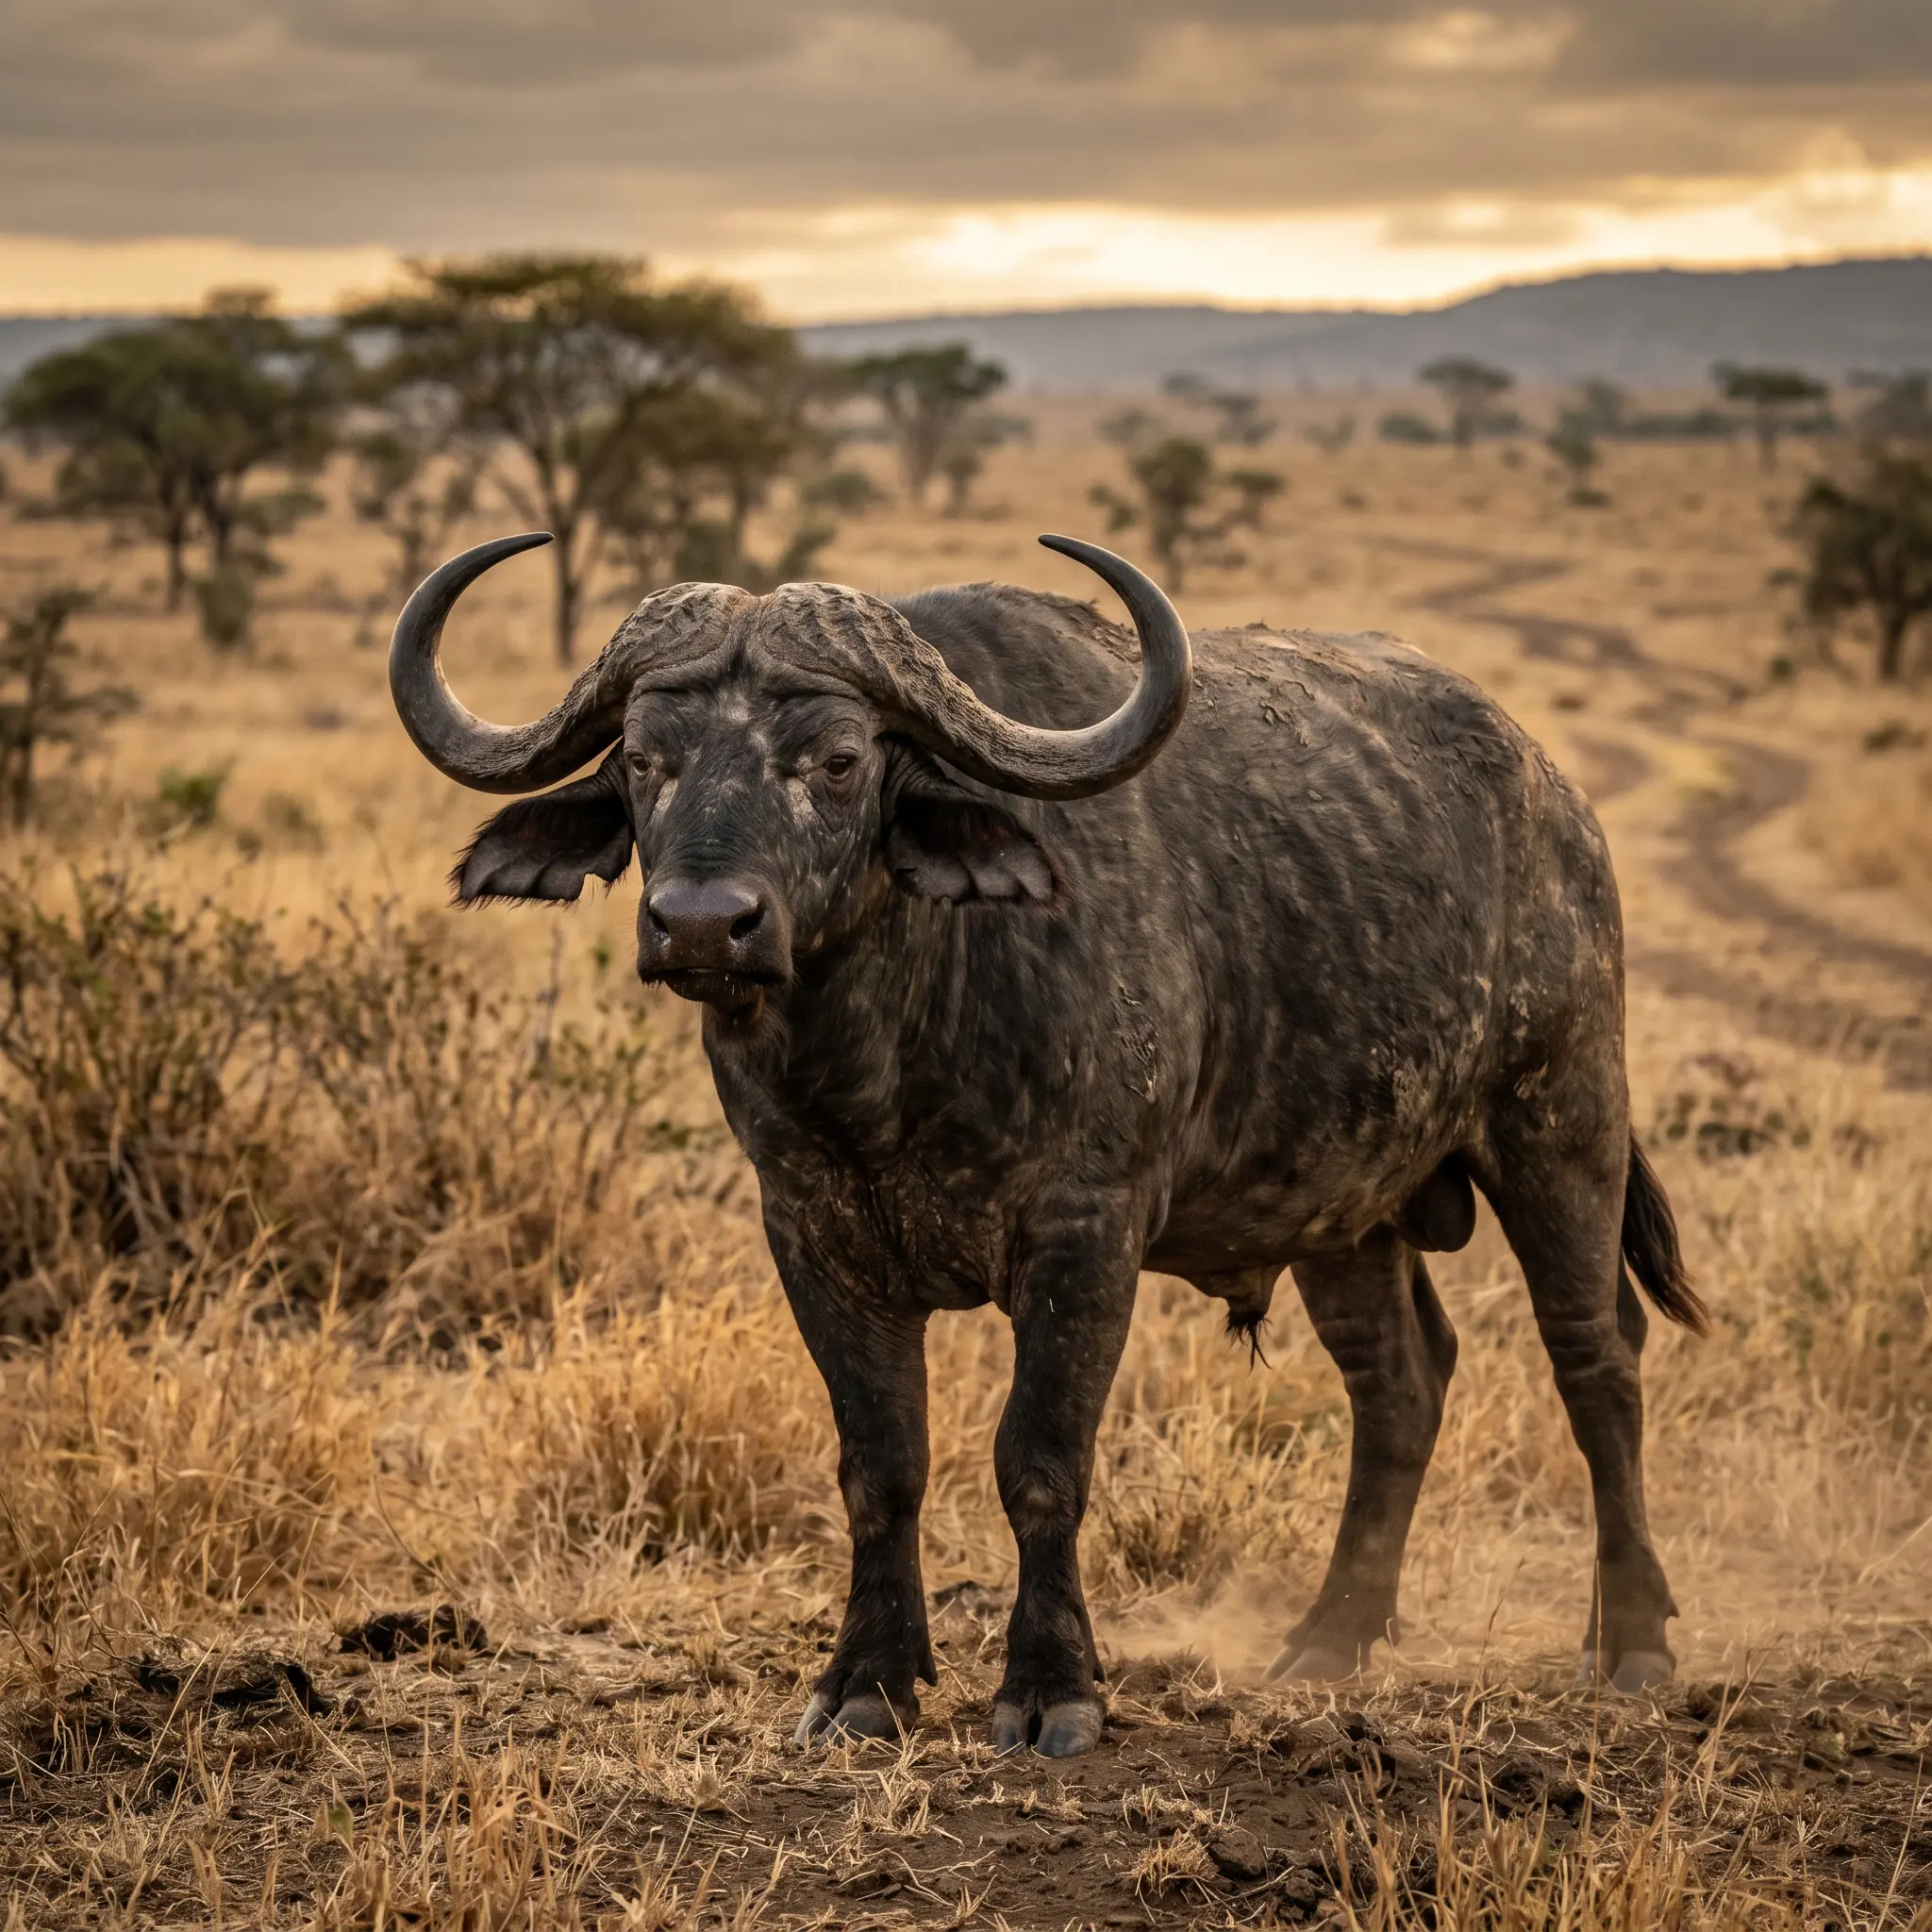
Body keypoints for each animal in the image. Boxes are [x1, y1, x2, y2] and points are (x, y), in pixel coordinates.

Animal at [390, 531, 1706, 1758]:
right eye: (642, 759)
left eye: (836, 759)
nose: (703, 925)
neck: (887, 1052)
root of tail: (1552, 798)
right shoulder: (811, 1236)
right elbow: (880, 1462)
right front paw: (865, 1680)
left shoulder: (1085, 1236)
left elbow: (1039, 1457)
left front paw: (1047, 1688)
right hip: (1344, 1205)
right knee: (1401, 1378)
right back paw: (1329, 1636)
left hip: (1561, 1120)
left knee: (1596, 1356)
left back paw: (1633, 1638)